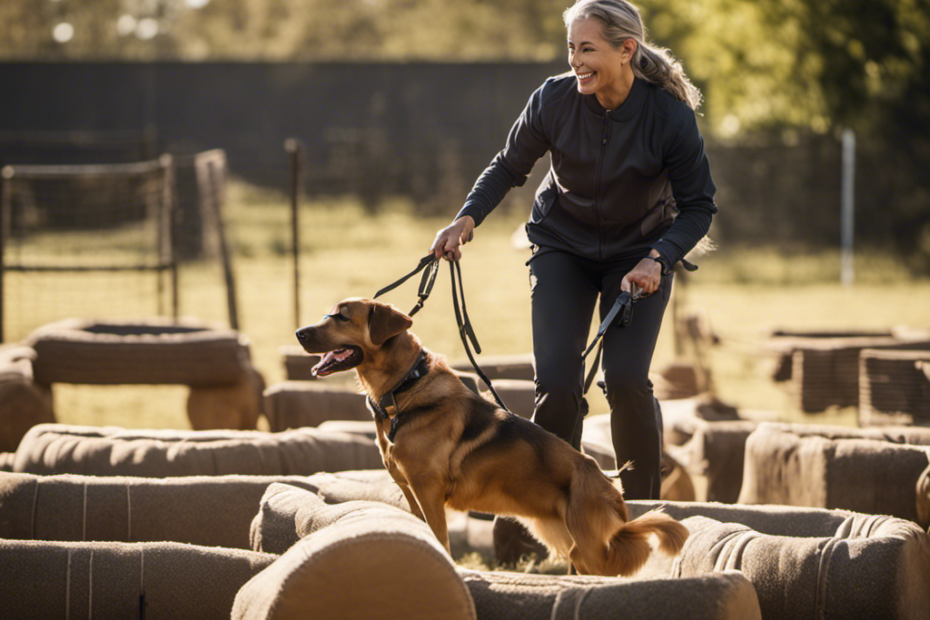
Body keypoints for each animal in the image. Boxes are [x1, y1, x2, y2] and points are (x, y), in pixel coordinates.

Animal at [294, 298, 684, 572]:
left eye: (342, 317)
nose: (300, 333)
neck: (404, 387)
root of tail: (609, 486)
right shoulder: (410, 490)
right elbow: (423, 535)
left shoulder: (428, 490)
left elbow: (440, 539)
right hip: (568, 540)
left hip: (591, 548)